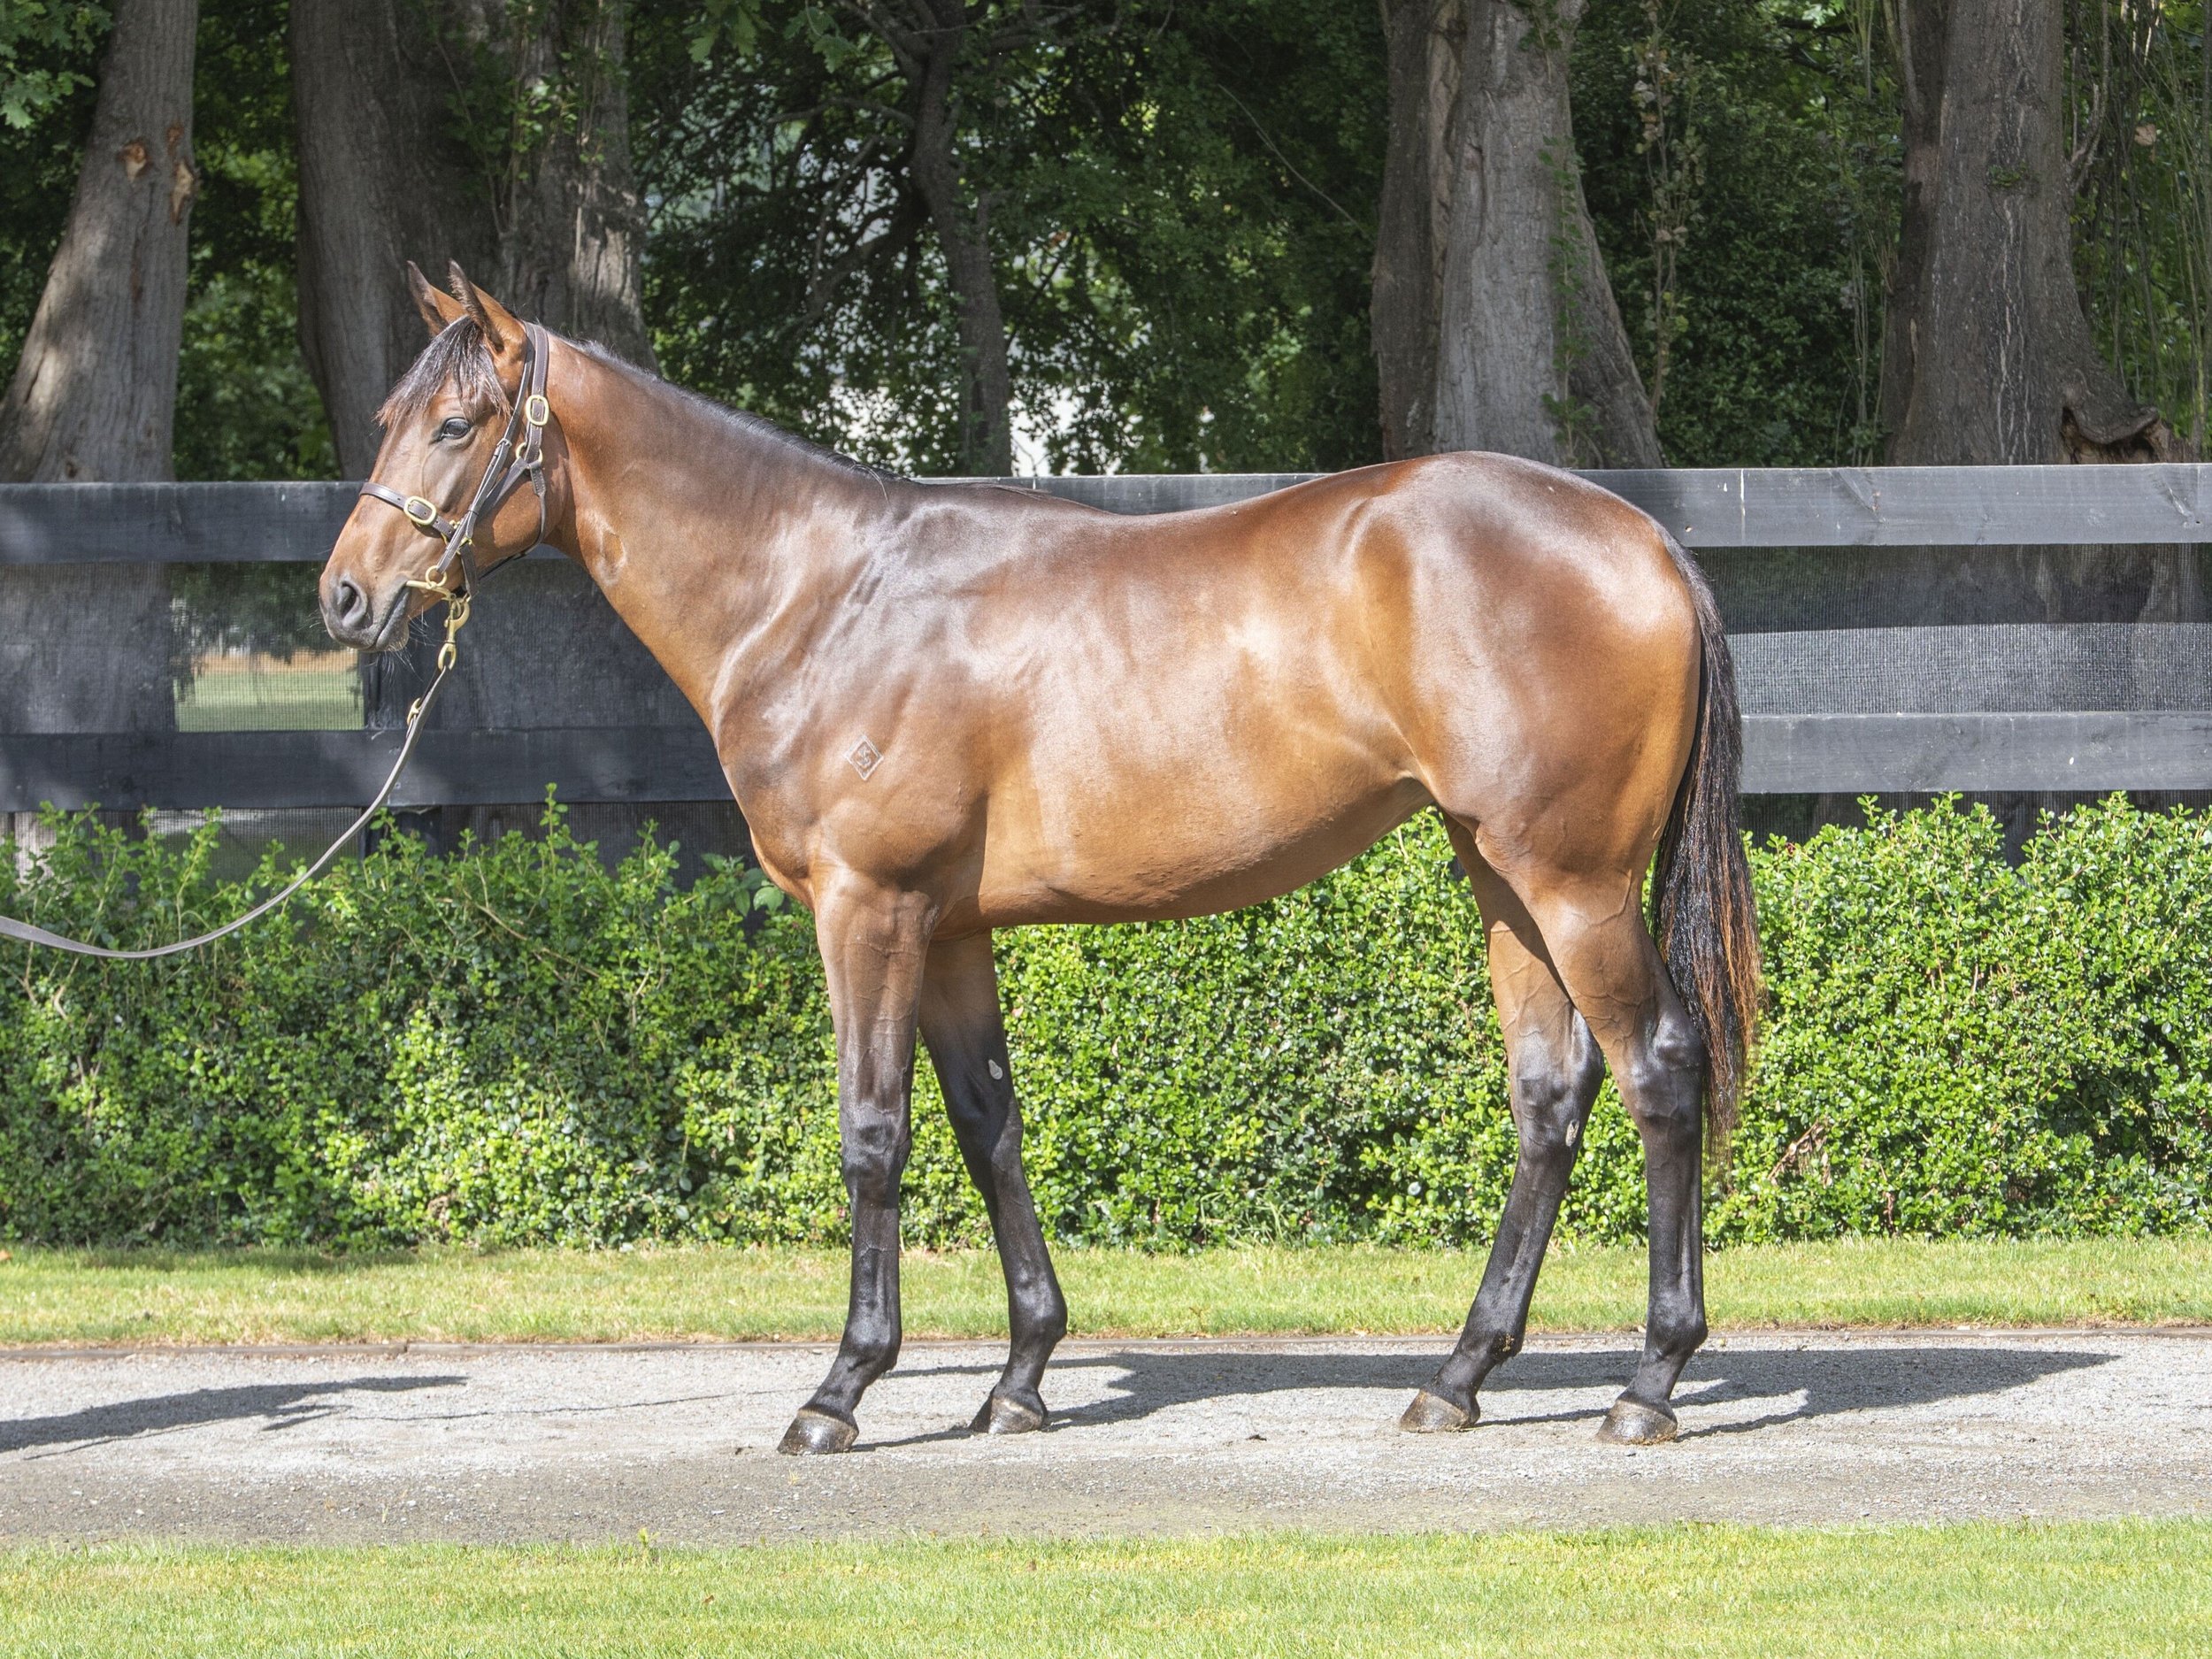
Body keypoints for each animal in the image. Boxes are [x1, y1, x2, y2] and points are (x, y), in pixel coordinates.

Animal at [319, 263, 1761, 1455]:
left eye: (457, 424)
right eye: (389, 415)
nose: (344, 597)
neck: (819, 596)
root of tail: (1645, 540)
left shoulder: (869, 910)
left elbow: (874, 1133)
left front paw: (842, 1387)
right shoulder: (950, 929)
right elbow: (988, 1125)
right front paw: (1019, 1376)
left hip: (1573, 885)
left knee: (1658, 1071)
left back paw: (1648, 1383)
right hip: (1500, 878)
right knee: (1550, 1094)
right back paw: (1457, 1375)